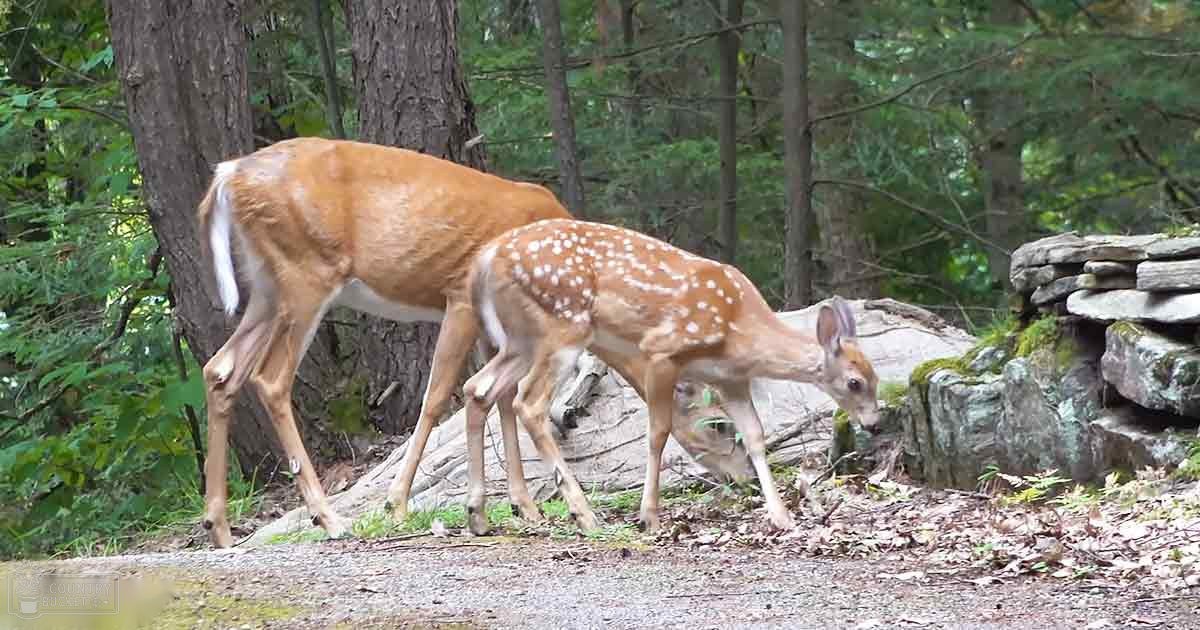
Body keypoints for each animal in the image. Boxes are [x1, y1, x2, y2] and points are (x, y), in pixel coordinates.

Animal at [195, 137, 750, 547]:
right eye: (721, 425)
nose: (742, 476)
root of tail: (229, 173)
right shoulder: (460, 295)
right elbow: (439, 396)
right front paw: (398, 503)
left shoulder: (497, 326)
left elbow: (498, 400)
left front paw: (522, 506)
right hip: (306, 271)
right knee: (270, 379)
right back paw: (328, 518)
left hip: (266, 285)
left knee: (220, 369)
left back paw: (219, 527)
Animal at [459, 218, 880, 534]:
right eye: (854, 382)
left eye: (875, 378)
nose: (875, 422)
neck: (738, 330)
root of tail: (487, 258)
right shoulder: (661, 352)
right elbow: (659, 433)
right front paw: (649, 516)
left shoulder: (730, 380)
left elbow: (756, 437)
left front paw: (781, 516)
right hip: (563, 325)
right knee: (528, 403)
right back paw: (584, 514)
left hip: (520, 339)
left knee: (477, 388)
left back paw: (478, 515)